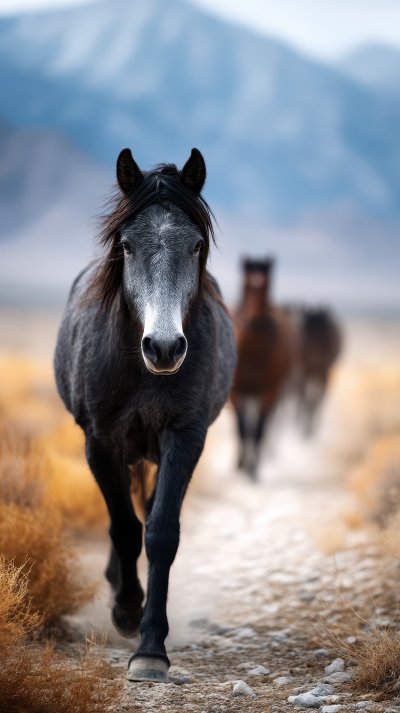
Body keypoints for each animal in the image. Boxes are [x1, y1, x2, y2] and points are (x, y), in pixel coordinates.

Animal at [54, 147, 236, 682]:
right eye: (128, 245)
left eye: (196, 245)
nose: (164, 347)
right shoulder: (99, 442)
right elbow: (124, 527)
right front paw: (126, 608)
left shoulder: (185, 437)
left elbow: (160, 532)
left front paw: (151, 646)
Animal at [230, 257, 296, 479]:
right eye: (245, 285)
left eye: (266, 286)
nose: (252, 321)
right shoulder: (236, 392)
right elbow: (242, 428)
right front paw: (241, 465)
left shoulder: (270, 392)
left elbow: (258, 430)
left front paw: (253, 469)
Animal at [295, 307, 342, 435]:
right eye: (304, 338)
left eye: (324, 339)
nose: (313, 359)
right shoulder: (303, 373)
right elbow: (305, 398)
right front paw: (305, 427)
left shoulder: (324, 373)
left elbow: (318, 399)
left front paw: (311, 428)